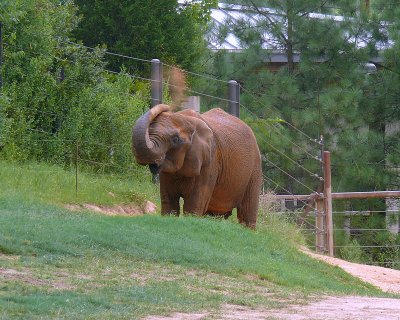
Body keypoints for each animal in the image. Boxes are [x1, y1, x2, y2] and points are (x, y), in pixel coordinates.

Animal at [131, 104, 262, 228]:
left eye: (175, 139)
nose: (167, 107)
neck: (187, 120)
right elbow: (169, 202)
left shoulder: (210, 162)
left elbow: (193, 204)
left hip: (255, 167)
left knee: (246, 212)